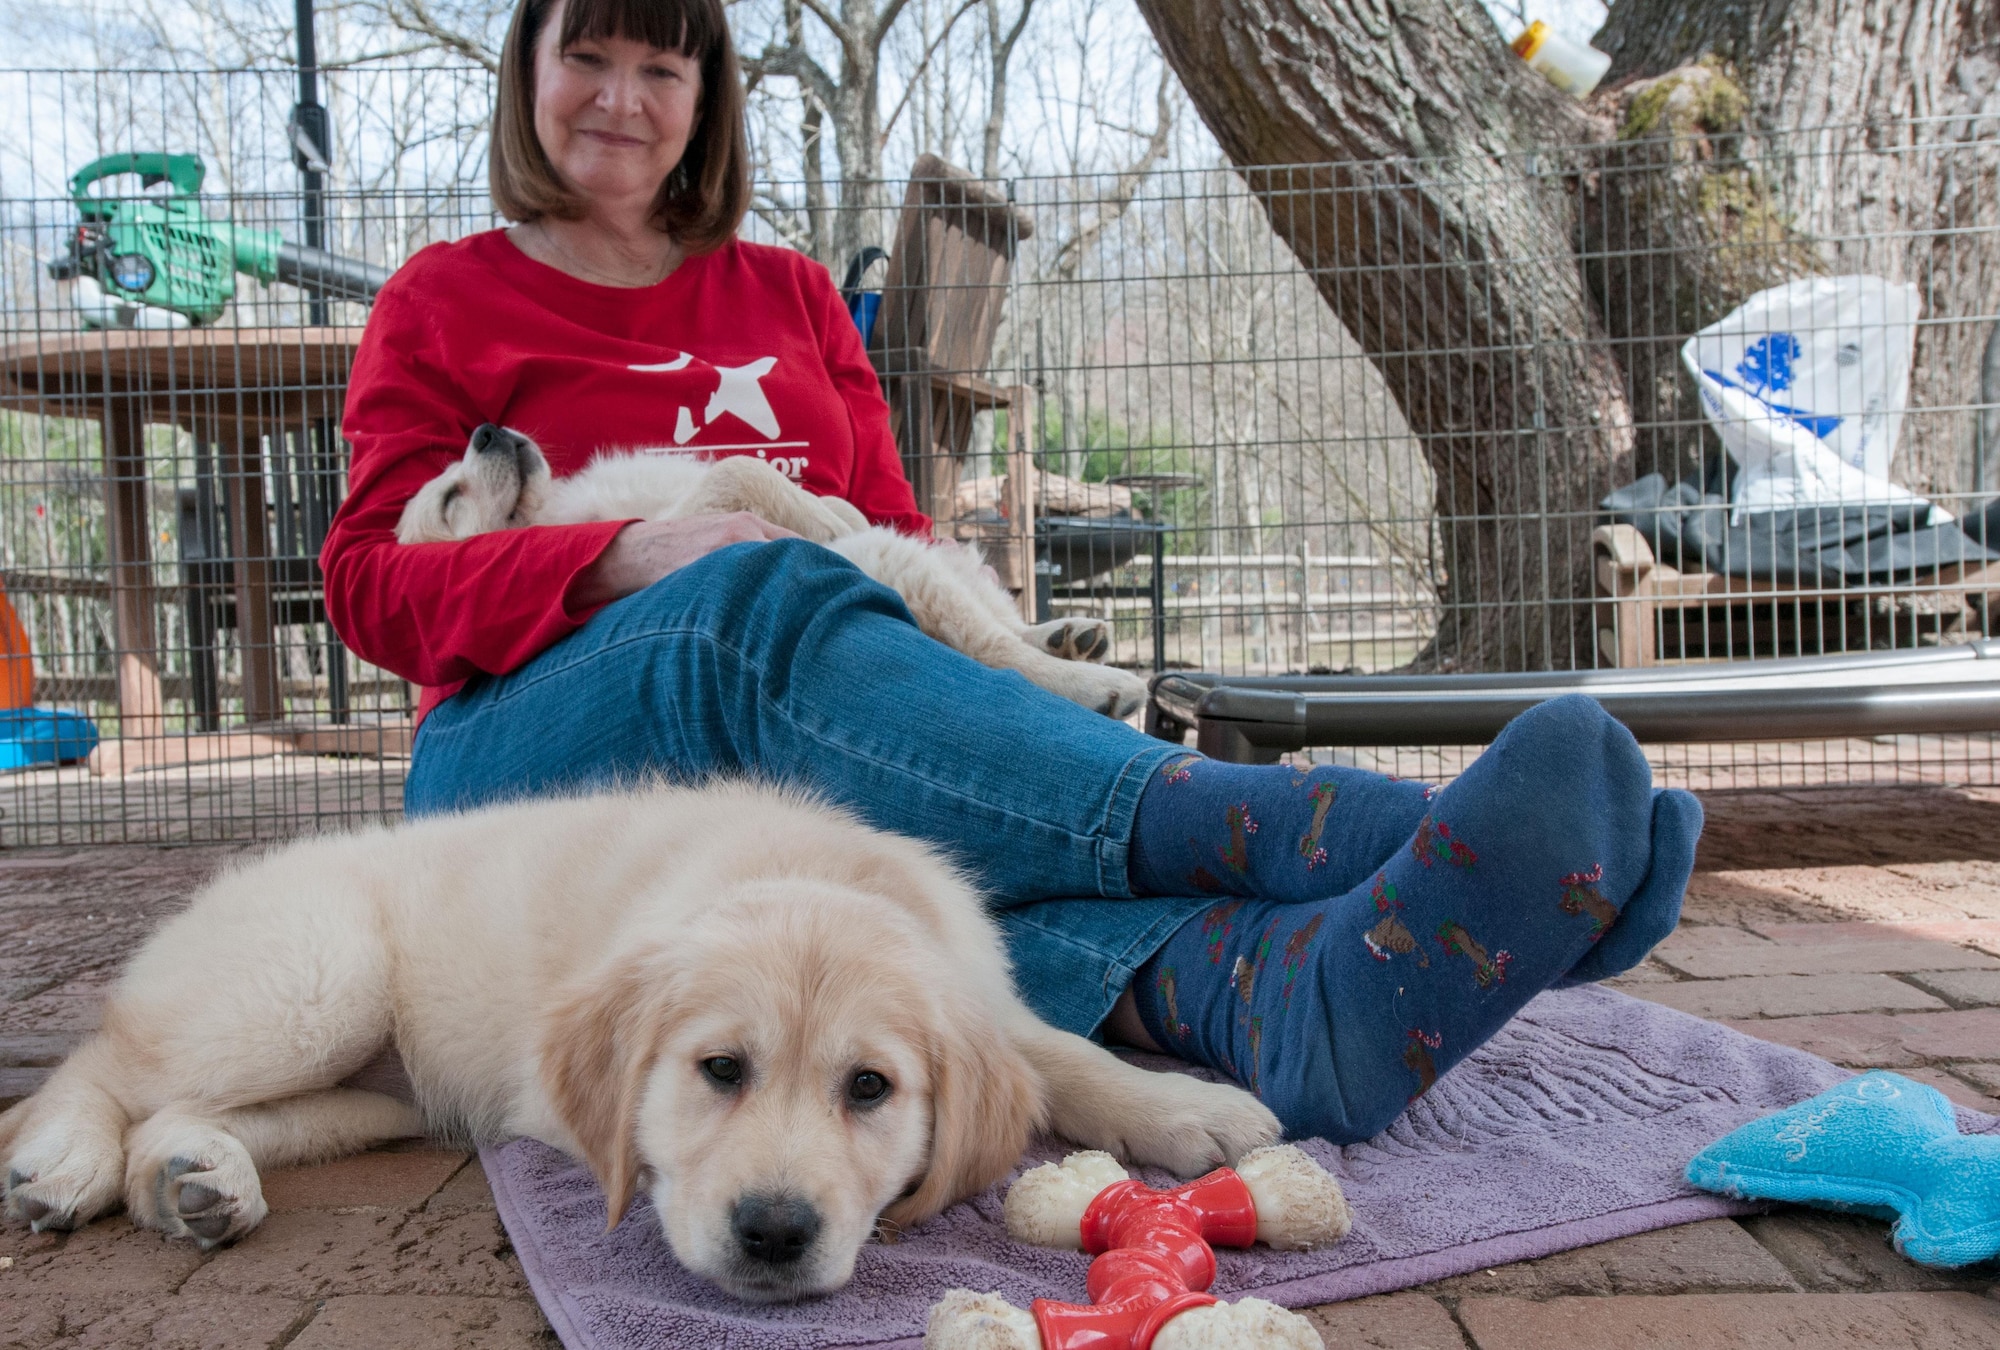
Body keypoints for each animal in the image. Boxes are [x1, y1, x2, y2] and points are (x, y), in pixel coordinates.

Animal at [0, 788, 1272, 1304]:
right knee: (106, 1067)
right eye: (720, 1070)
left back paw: (194, 1181)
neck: (810, 870)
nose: (773, 1235)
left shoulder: (982, 998)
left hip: (371, 1094)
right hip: (315, 977)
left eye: (869, 1087)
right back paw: (66, 1163)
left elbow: (1056, 1052)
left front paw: (1187, 1110)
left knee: (176, 1117)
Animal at [394, 426, 1160, 720]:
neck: (556, 512)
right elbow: (739, 469)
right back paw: (1100, 684)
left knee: (1001, 624)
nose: (487, 429)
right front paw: (820, 519)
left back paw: (1071, 635)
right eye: (450, 500)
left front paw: (830, 506)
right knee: (993, 651)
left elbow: (811, 492)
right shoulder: (684, 517)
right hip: (906, 568)